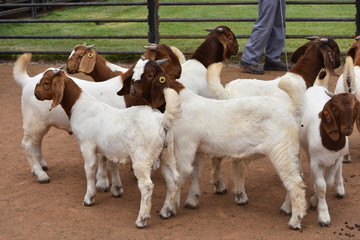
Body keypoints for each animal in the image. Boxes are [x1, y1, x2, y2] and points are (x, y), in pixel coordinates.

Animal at [33, 68, 183, 228]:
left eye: (46, 82)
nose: (36, 93)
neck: (79, 106)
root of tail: (162, 120)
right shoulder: (109, 149)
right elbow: (112, 165)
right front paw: (116, 189)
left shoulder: (87, 144)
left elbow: (90, 170)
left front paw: (89, 198)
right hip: (167, 153)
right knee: (173, 179)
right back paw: (167, 211)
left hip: (142, 158)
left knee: (147, 186)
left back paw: (142, 219)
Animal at [119, 59, 308, 230]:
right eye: (134, 74)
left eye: (150, 74)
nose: (133, 90)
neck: (182, 103)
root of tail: (291, 109)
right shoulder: (197, 149)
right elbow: (195, 171)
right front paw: (192, 200)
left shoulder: (184, 146)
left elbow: (180, 175)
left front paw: (169, 208)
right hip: (292, 152)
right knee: (297, 179)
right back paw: (287, 208)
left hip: (281, 151)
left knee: (294, 182)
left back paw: (295, 221)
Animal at [298, 68, 360, 227]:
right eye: (335, 108)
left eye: (355, 107)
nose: (347, 129)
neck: (331, 143)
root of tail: (317, 86)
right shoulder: (316, 162)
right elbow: (321, 187)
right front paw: (323, 216)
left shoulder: (336, 160)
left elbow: (328, 181)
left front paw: (314, 200)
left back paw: (340, 189)